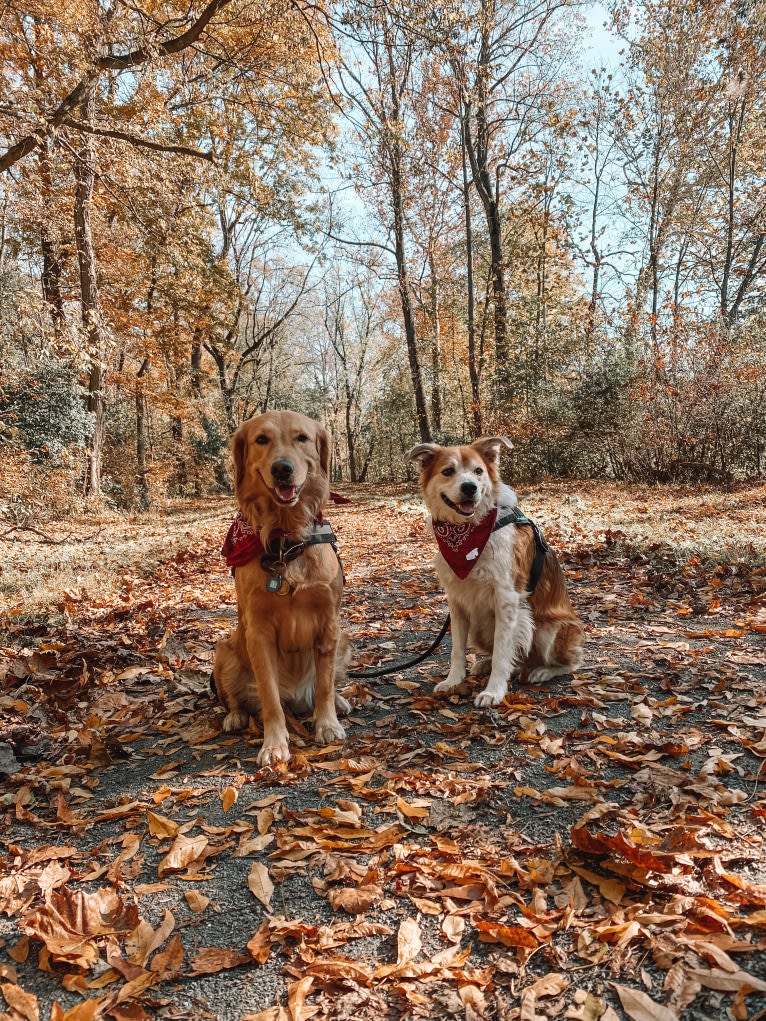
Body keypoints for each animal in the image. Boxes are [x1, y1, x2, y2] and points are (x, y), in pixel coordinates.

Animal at [213, 410, 351, 763]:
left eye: (301, 438)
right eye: (262, 439)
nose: (282, 468)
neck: (285, 542)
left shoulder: (329, 622)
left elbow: (325, 685)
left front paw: (327, 724)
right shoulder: (258, 632)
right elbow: (270, 699)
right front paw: (274, 744)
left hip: (345, 641)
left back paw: (338, 702)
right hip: (225, 650)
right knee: (236, 699)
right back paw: (235, 716)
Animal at [408, 434, 580, 706]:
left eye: (478, 471)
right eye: (448, 471)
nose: (470, 487)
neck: (470, 530)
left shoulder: (506, 600)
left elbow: (502, 652)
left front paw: (494, 691)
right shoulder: (457, 601)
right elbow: (457, 649)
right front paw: (453, 680)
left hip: (549, 629)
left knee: (571, 663)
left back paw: (542, 671)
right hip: (480, 628)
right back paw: (485, 665)